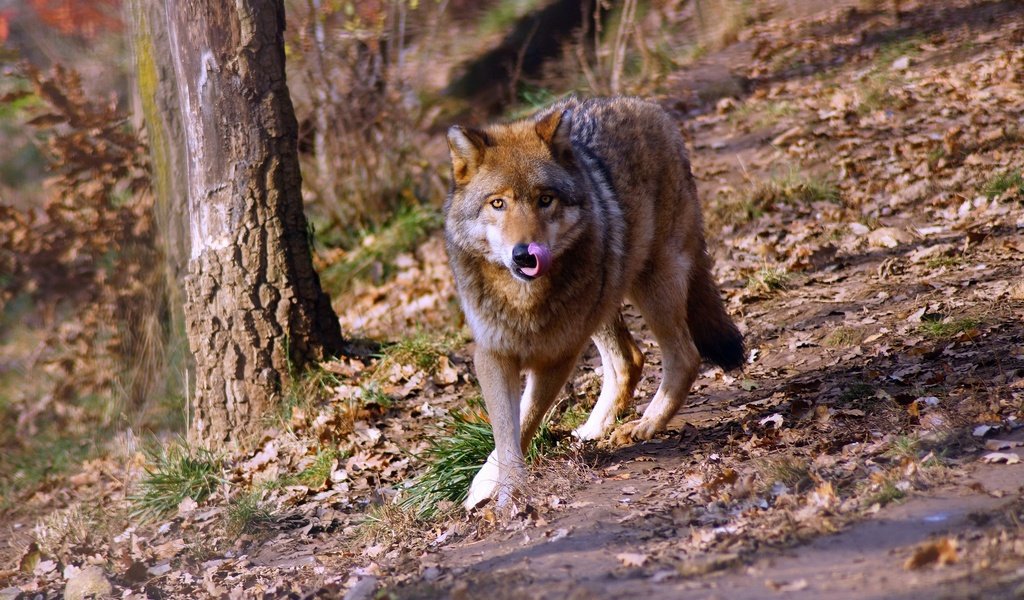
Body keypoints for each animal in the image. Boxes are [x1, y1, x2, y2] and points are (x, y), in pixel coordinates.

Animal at [444, 95, 741, 507]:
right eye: (498, 203)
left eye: (545, 200)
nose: (525, 255)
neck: (523, 300)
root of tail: (644, 105)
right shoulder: (493, 354)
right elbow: (506, 431)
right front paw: (493, 487)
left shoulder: (558, 357)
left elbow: (526, 419)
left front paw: (504, 492)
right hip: (605, 302)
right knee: (631, 359)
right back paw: (594, 429)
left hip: (651, 285)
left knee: (684, 355)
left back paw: (645, 425)